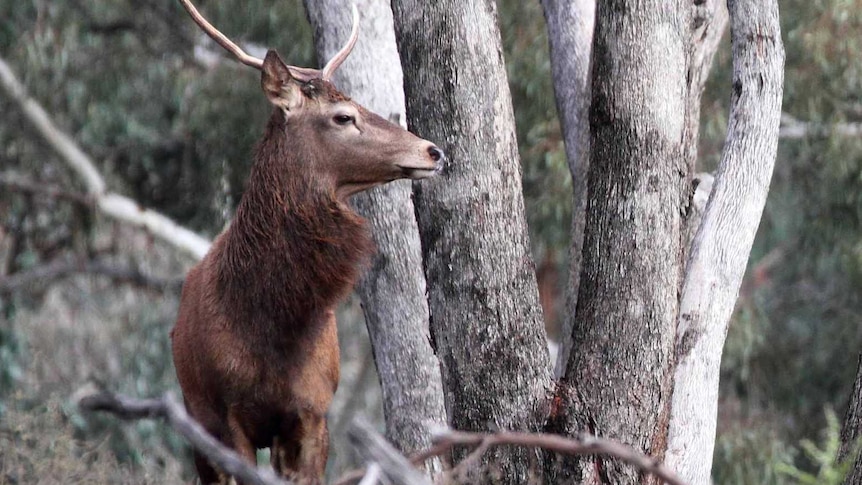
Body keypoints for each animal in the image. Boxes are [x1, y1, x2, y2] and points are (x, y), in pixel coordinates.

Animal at [172, 1, 448, 482]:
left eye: (359, 103)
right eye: (343, 116)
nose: (433, 151)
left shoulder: (312, 412)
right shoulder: (228, 417)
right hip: (195, 418)